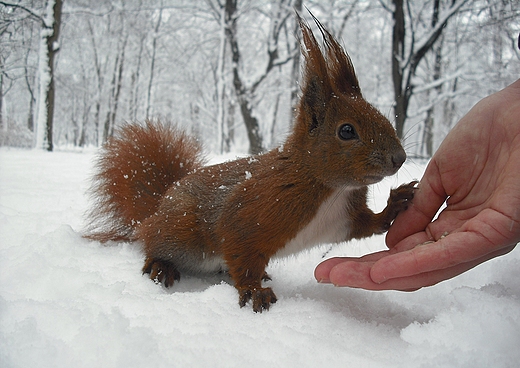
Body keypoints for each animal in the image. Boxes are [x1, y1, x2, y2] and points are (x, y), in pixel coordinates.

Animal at [85, 15, 414, 314]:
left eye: (380, 114)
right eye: (346, 131)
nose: (399, 158)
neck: (330, 188)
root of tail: (157, 207)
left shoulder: (342, 220)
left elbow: (367, 225)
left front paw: (397, 203)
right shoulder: (250, 215)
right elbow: (238, 248)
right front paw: (254, 291)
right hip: (180, 231)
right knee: (152, 242)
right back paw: (160, 265)